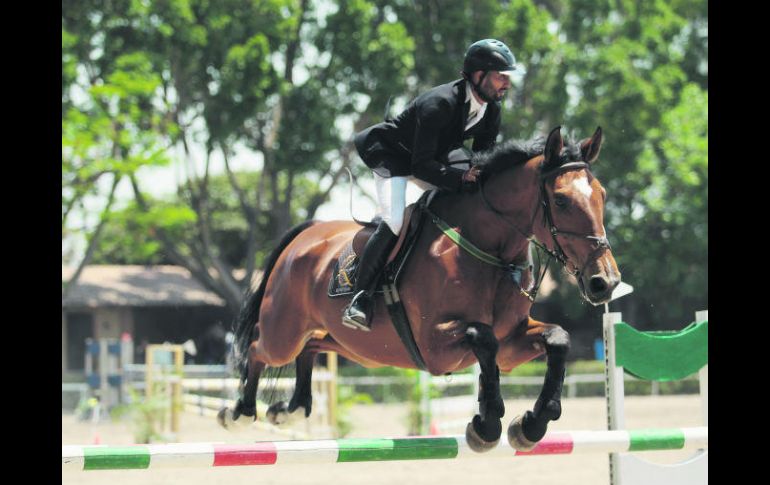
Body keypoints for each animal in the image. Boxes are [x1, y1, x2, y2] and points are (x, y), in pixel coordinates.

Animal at [214, 125, 616, 450]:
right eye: (561, 200)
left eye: (602, 195)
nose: (605, 283)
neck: (489, 250)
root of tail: (308, 234)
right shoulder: (435, 345)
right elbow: (482, 337)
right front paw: (487, 424)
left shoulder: (511, 343)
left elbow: (557, 339)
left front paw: (531, 425)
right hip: (283, 331)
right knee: (258, 348)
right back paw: (239, 413)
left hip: (345, 342)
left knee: (310, 347)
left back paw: (292, 408)